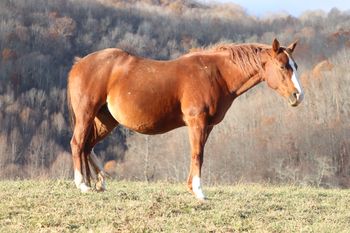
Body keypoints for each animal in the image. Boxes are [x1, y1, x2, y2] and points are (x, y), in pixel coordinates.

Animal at [67, 38, 302, 200]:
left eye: (296, 66)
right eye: (283, 66)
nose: (298, 96)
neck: (215, 74)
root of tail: (79, 64)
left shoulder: (207, 126)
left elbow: (198, 154)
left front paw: (192, 187)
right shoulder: (197, 122)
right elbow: (197, 154)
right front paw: (198, 191)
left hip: (106, 120)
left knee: (87, 146)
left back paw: (99, 182)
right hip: (86, 114)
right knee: (77, 143)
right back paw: (82, 184)